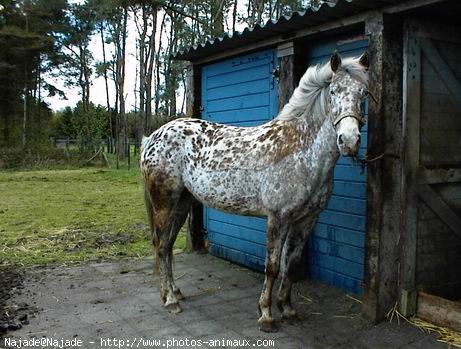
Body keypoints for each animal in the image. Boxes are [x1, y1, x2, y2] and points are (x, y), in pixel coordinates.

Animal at [138, 52, 368, 332]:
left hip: (183, 202)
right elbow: (272, 267)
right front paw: (266, 315)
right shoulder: (278, 218)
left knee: (169, 244)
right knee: (161, 244)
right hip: (164, 202)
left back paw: (175, 292)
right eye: (333, 92)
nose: (349, 141)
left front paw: (288, 309)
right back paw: (170, 300)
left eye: (363, 93)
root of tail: (152, 138)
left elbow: (291, 265)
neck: (301, 151)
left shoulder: (306, 219)